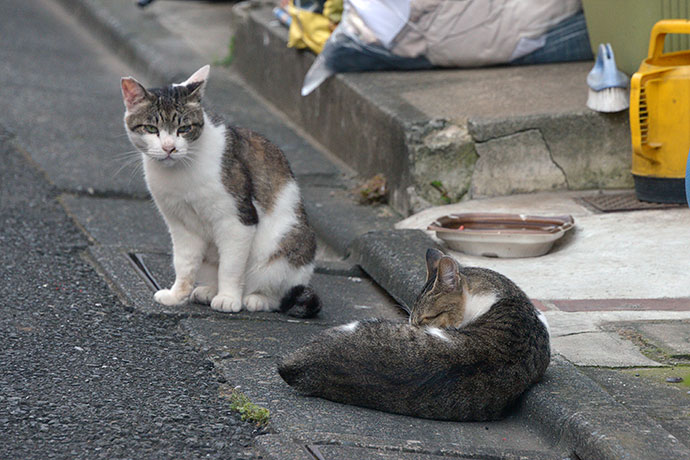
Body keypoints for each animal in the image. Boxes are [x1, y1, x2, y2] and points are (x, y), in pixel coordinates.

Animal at [120, 64, 320, 316]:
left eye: (184, 128)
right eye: (150, 128)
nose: (169, 148)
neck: (181, 173)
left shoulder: (237, 220)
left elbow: (231, 266)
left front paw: (228, 298)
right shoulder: (181, 224)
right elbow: (183, 263)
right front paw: (177, 295)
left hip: (285, 247)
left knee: (278, 294)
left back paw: (254, 299)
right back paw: (208, 291)